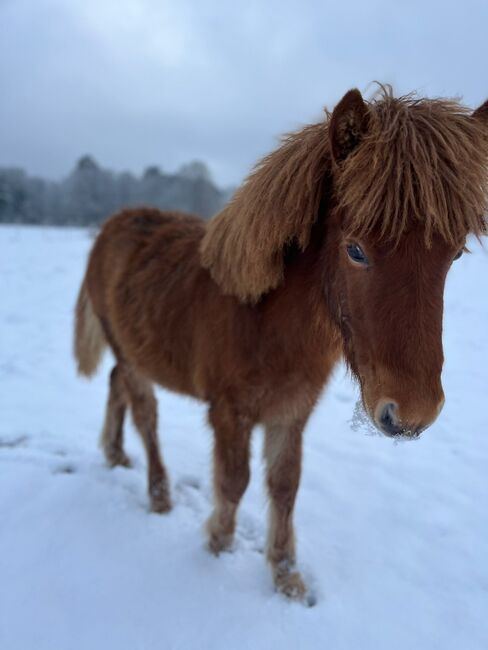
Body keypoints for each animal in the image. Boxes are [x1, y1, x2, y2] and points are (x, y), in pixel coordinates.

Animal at [73, 87, 488, 604]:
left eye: (454, 255)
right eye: (355, 249)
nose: (411, 414)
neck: (264, 319)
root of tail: (112, 226)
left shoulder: (292, 411)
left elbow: (285, 485)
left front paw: (286, 574)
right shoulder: (230, 412)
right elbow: (234, 482)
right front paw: (217, 546)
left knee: (117, 388)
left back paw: (114, 454)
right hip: (131, 356)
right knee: (145, 415)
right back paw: (159, 494)